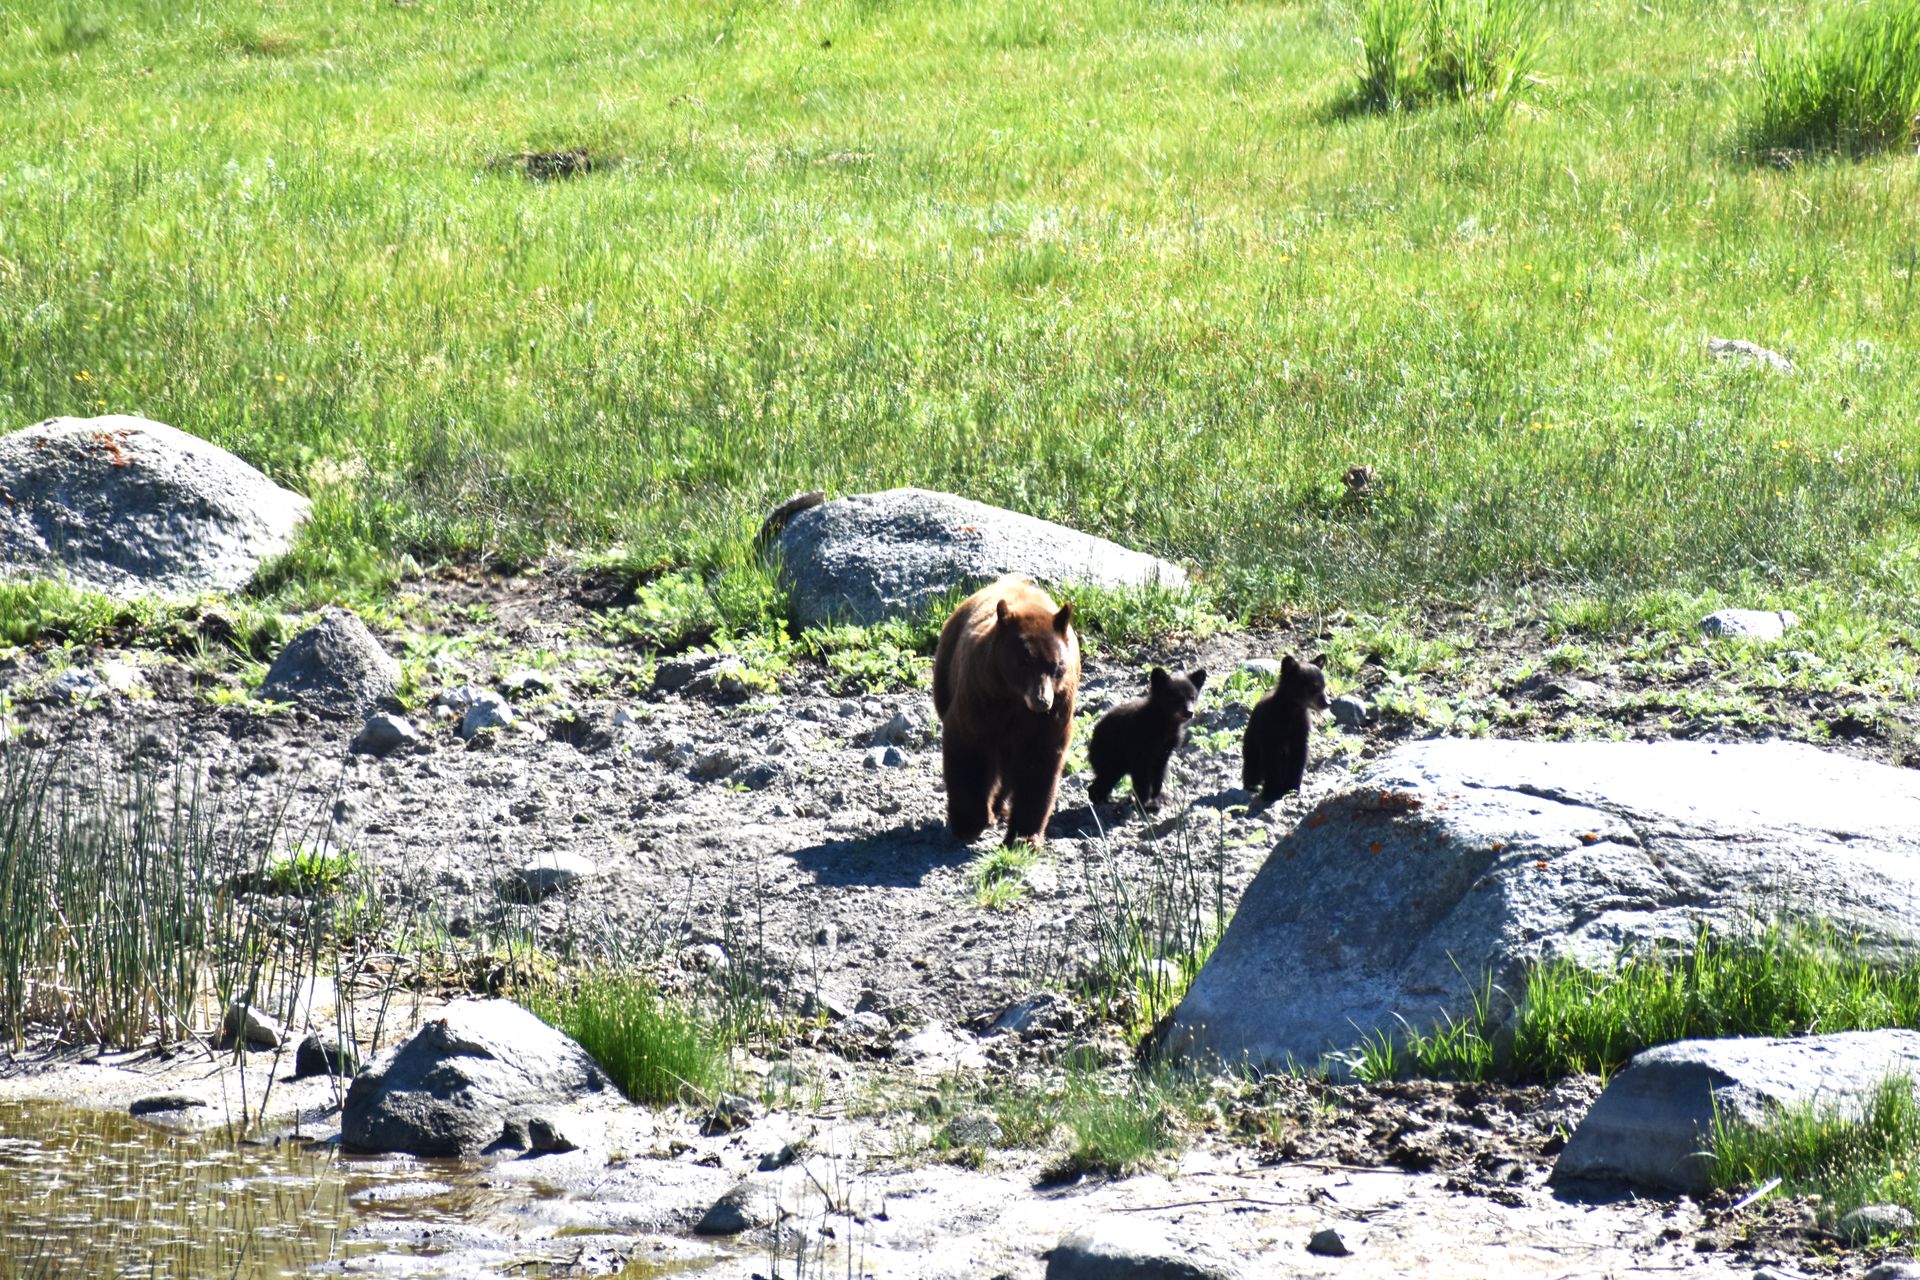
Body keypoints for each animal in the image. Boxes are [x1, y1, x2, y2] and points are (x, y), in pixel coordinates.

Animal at [931, 575, 1080, 846]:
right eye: (1025, 661)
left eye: (1056, 665)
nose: (1042, 700)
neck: (1014, 699)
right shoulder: (980, 693)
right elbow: (967, 746)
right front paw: (969, 823)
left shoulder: (1054, 712)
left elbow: (1038, 763)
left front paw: (1025, 837)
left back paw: (999, 807)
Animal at [1086, 666, 1208, 812]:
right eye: (1176, 697)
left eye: (1192, 697)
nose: (1189, 712)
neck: (1164, 722)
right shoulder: (1140, 743)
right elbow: (1142, 776)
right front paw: (1146, 804)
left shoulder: (1165, 749)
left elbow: (1159, 772)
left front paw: (1158, 796)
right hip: (1110, 754)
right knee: (1107, 776)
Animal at [1241, 653, 1331, 803]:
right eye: (1313, 687)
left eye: (1324, 686)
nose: (1328, 702)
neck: (1291, 712)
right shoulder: (1270, 731)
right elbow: (1271, 762)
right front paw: (1271, 792)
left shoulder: (1300, 732)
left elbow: (1299, 759)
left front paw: (1292, 788)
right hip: (1251, 743)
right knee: (1252, 765)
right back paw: (1252, 786)